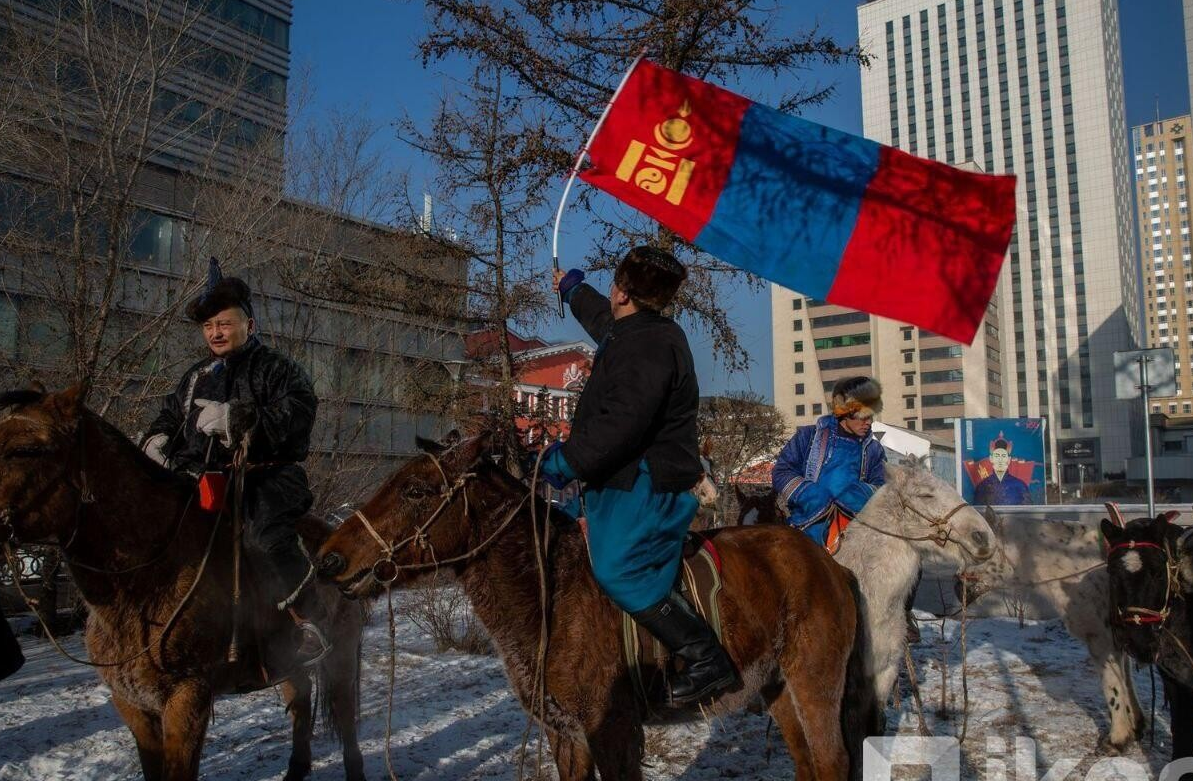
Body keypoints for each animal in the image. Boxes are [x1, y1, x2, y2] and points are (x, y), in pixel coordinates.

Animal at [0, 386, 365, 781]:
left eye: (27, 449)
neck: (143, 583)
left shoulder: (187, 698)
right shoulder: (133, 705)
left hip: (341, 656)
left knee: (345, 717)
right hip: (287, 661)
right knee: (300, 701)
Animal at [317, 434, 878, 781]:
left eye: (415, 490)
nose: (329, 558)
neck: (551, 592)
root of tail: (831, 566)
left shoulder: (613, 732)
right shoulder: (567, 736)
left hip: (814, 685)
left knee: (832, 762)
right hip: (778, 688)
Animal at [959, 510, 1145, 753]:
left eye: (979, 553)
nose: (958, 587)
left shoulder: (1101, 641)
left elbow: (1112, 687)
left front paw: (1117, 739)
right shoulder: (1118, 641)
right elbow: (1126, 681)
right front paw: (1135, 727)